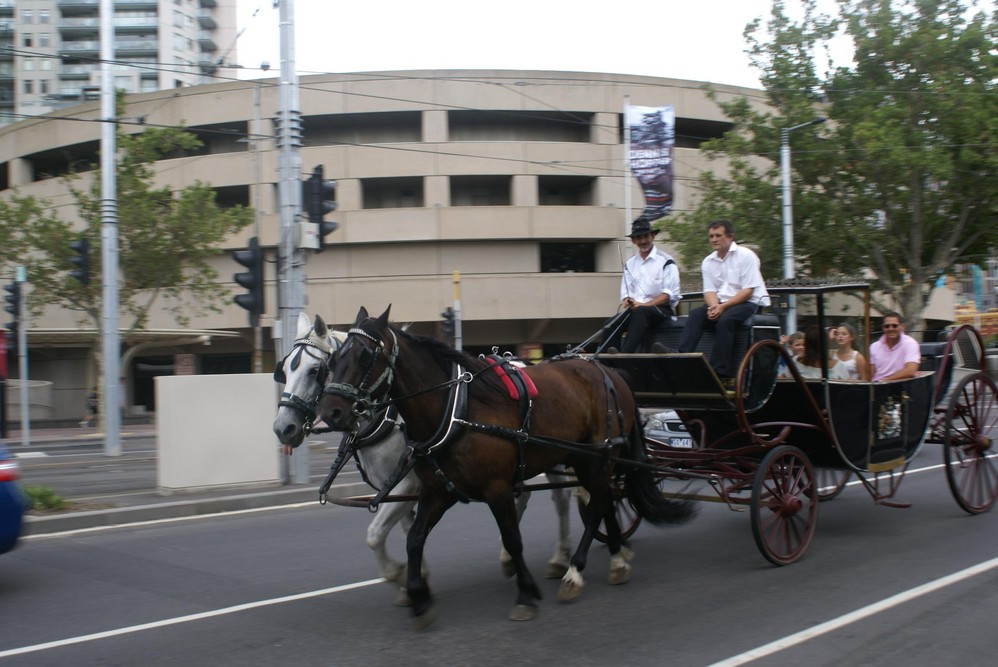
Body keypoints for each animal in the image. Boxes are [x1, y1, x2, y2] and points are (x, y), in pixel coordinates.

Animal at [274, 314, 576, 596]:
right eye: (284, 370)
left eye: (316, 370)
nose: (283, 428)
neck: (389, 417)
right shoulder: (401, 490)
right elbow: (407, 530)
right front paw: (416, 581)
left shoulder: (408, 484)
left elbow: (375, 534)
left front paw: (398, 575)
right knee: (525, 495)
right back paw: (512, 557)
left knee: (561, 499)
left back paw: (560, 559)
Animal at [320, 308, 696, 628]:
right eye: (334, 360)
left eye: (364, 356)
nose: (331, 412)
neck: (456, 410)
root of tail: (608, 370)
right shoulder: (437, 490)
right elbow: (414, 539)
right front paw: (418, 597)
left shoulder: (495, 488)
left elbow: (514, 539)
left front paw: (526, 594)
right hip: (582, 458)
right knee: (600, 502)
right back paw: (616, 559)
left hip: (599, 459)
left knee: (596, 505)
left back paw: (575, 571)